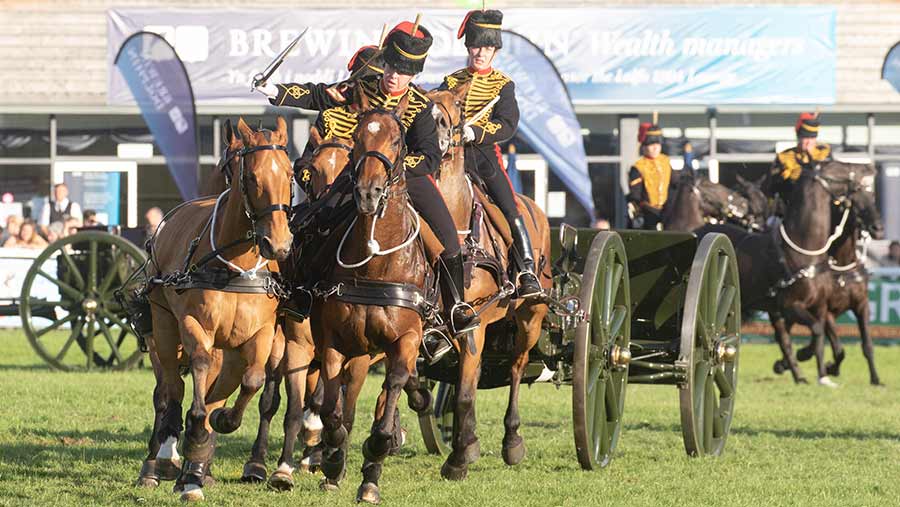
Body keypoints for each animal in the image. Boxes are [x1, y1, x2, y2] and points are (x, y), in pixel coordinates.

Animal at [142, 118, 292, 500]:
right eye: (251, 176)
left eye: (290, 174)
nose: (278, 244)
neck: (236, 267)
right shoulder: (195, 326)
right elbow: (196, 372)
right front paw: (190, 439)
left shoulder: (262, 334)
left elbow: (252, 382)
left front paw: (222, 423)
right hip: (163, 327)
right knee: (170, 390)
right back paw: (162, 461)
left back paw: (195, 468)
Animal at [428, 89, 552, 482]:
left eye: (457, 106)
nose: (438, 130)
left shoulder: (474, 321)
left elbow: (465, 392)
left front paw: (457, 461)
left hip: (530, 317)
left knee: (516, 368)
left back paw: (511, 441)